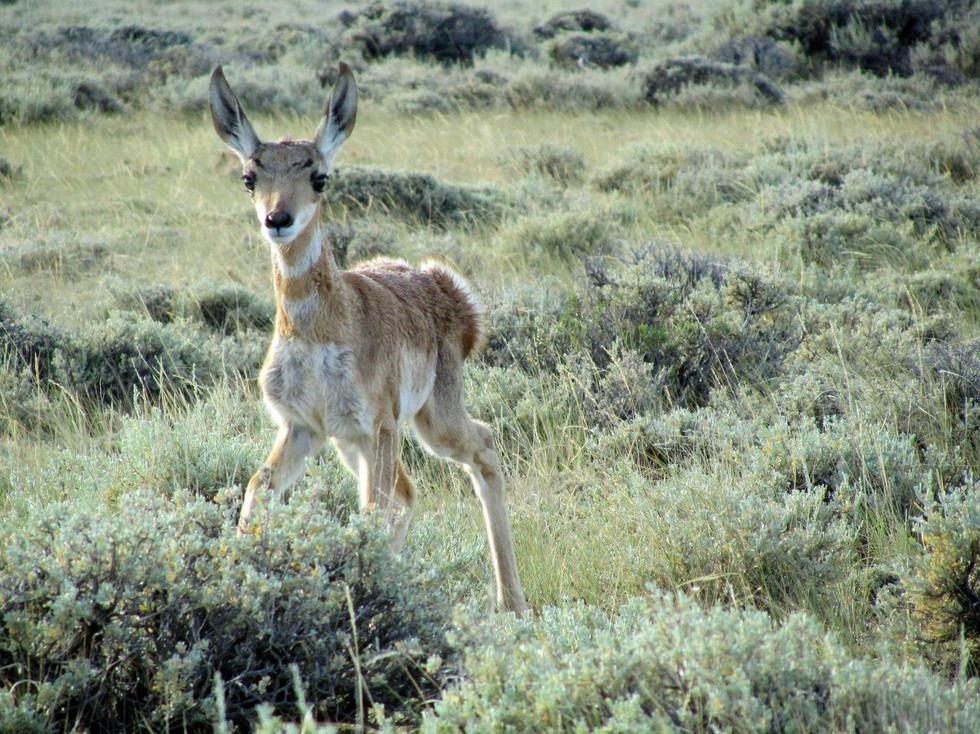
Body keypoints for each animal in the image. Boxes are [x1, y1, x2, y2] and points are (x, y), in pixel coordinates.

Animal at [208, 61, 528, 616]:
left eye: (319, 177)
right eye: (250, 178)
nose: (278, 219)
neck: (320, 329)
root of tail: (442, 286)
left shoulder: (376, 426)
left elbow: (368, 512)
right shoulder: (302, 428)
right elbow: (257, 488)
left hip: (428, 424)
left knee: (480, 450)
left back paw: (511, 603)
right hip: (354, 444)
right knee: (407, 494)